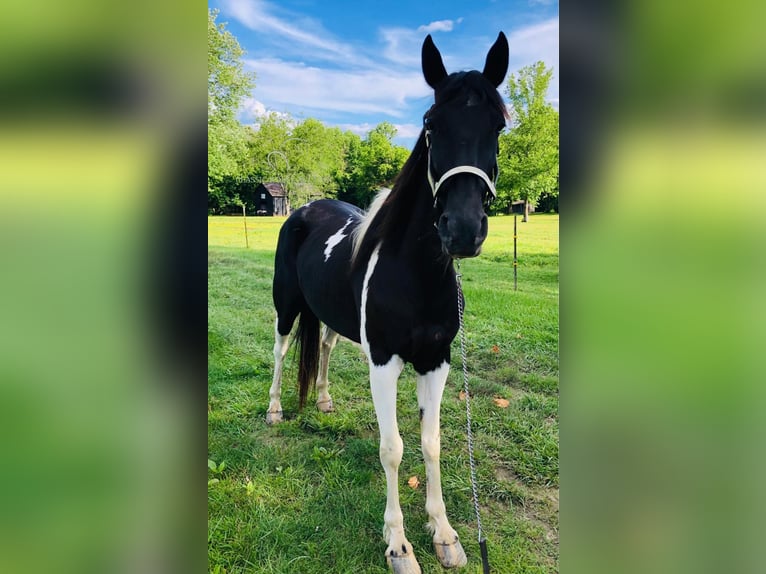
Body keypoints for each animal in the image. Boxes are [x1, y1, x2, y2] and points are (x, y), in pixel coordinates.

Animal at [266, 32, 510, 574]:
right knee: (281, 351)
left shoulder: (435, 361)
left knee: (326, 348)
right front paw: (398, 544)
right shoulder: (383, 362)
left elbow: (432, 443)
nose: (463, 230)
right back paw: (273, 409)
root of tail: (304, 209)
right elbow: (393, 448)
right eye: (431, 125)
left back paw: (324, 399)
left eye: (499, 126)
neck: (415, 274)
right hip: (286, 308)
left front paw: (444, 533)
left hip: (332, 319)